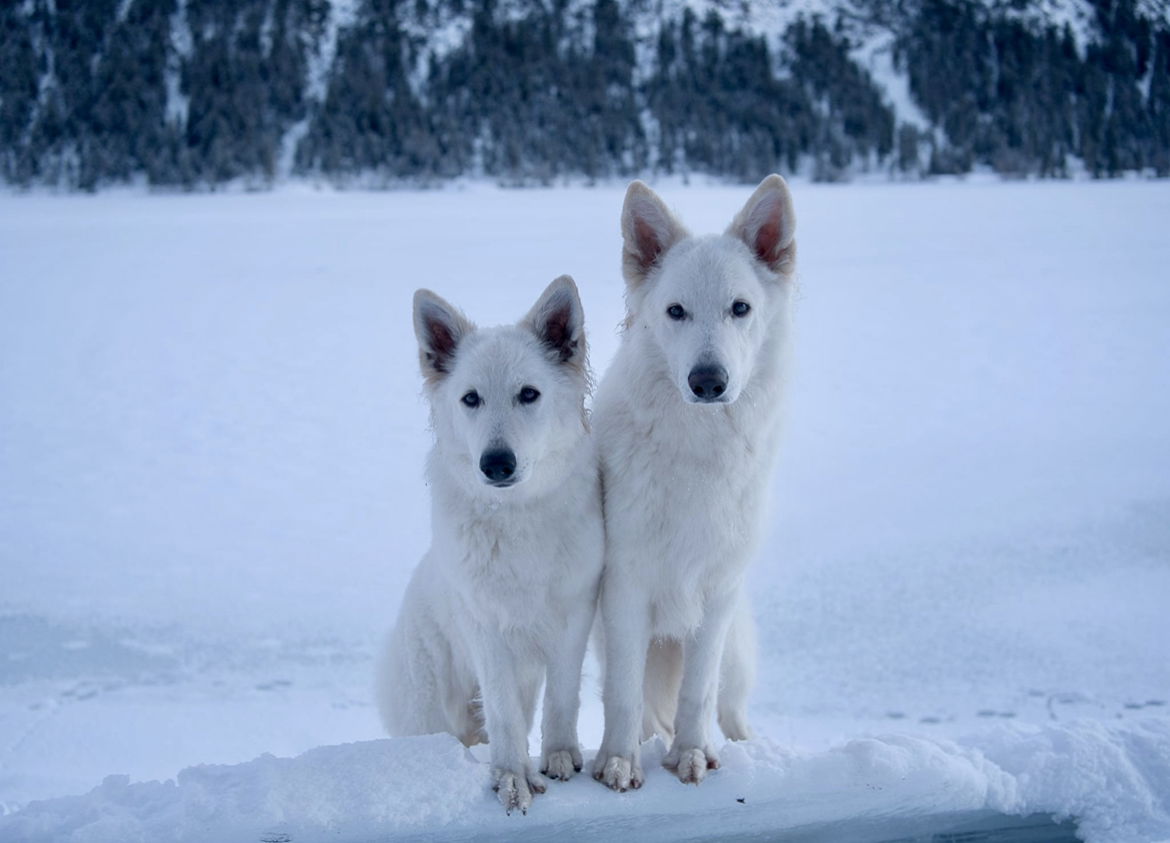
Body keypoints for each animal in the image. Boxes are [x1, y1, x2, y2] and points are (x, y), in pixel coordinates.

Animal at [381, 272, 608, 813]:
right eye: (471, 399)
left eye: (528, 394)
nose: (496, 463)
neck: (517, 516)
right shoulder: (486, 631)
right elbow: (503, 715)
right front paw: (511, 777)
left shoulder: (573, 617)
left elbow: (563, 697)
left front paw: (561, 755)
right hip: (431, 705)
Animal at [594, 175, 795, 790]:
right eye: (676, 311)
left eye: (740, 309)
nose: (708, 381)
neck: (697, 450)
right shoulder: (625, 589)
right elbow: (623, 694)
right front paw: (619, 761)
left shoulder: (717, 593)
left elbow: (696, 692)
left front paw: (689, 754)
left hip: (736, 651)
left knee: (727, 708)